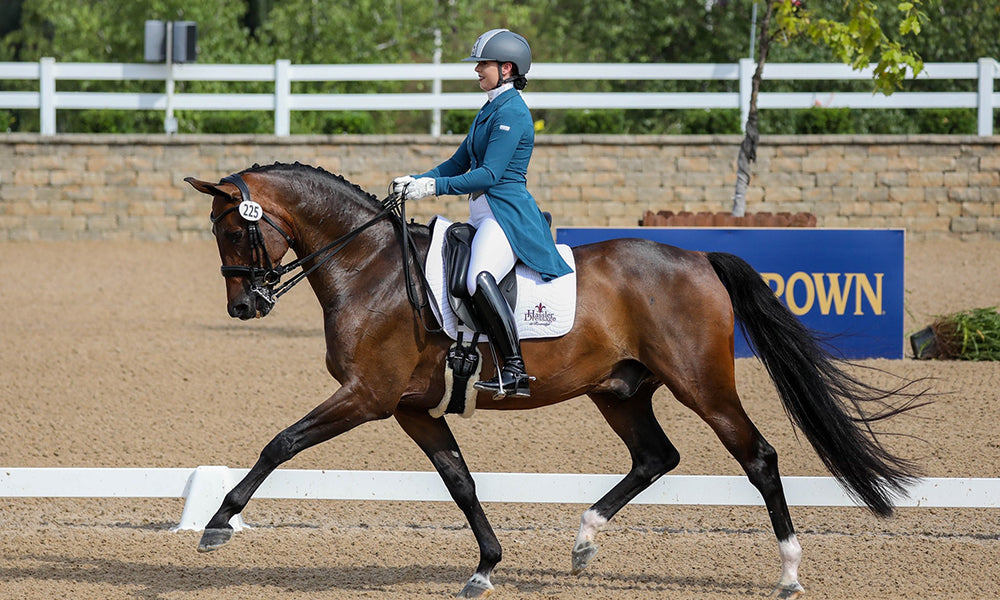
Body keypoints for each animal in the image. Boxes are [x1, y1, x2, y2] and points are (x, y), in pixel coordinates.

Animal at [184, 162, 924, 599]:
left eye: (233, 231)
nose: (244, 307)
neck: (371, 268)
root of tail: (698, 258)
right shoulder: (413, 408)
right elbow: (460, 481)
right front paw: (485, 565)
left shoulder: (367, 396)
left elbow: (281, 443)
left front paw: (219, 522)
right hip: (620, 389)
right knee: (656, 456)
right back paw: (584, 542)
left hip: (703, 385)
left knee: (759, 457)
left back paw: (790, 572)